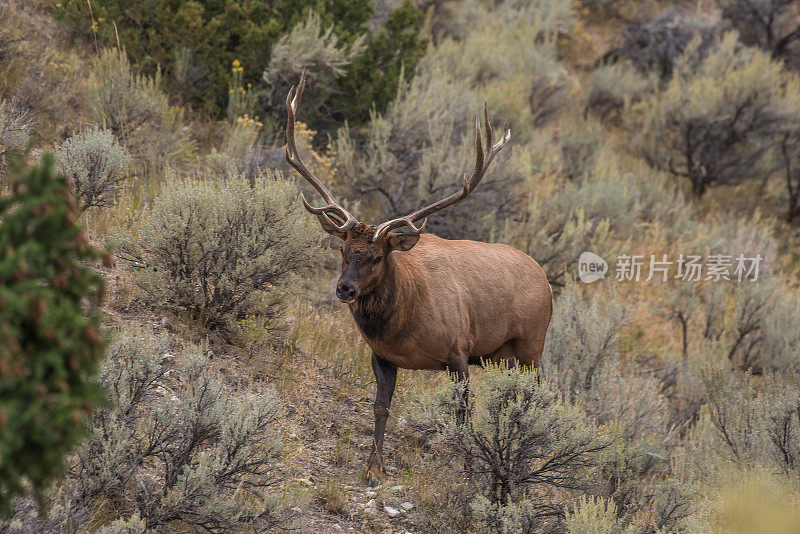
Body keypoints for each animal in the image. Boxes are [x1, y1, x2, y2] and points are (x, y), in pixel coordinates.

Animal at [284, 70, 552, 486]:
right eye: (343, 251)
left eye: (378, 256)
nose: (345, 288)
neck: (404, 322)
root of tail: (547, 280)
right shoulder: (381, 354)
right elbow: (380, 407)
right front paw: (373, 468)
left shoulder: (459, 349)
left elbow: (462, 415)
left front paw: (466, 470)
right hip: (505, 356)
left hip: (531, 347)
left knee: (533, 399)